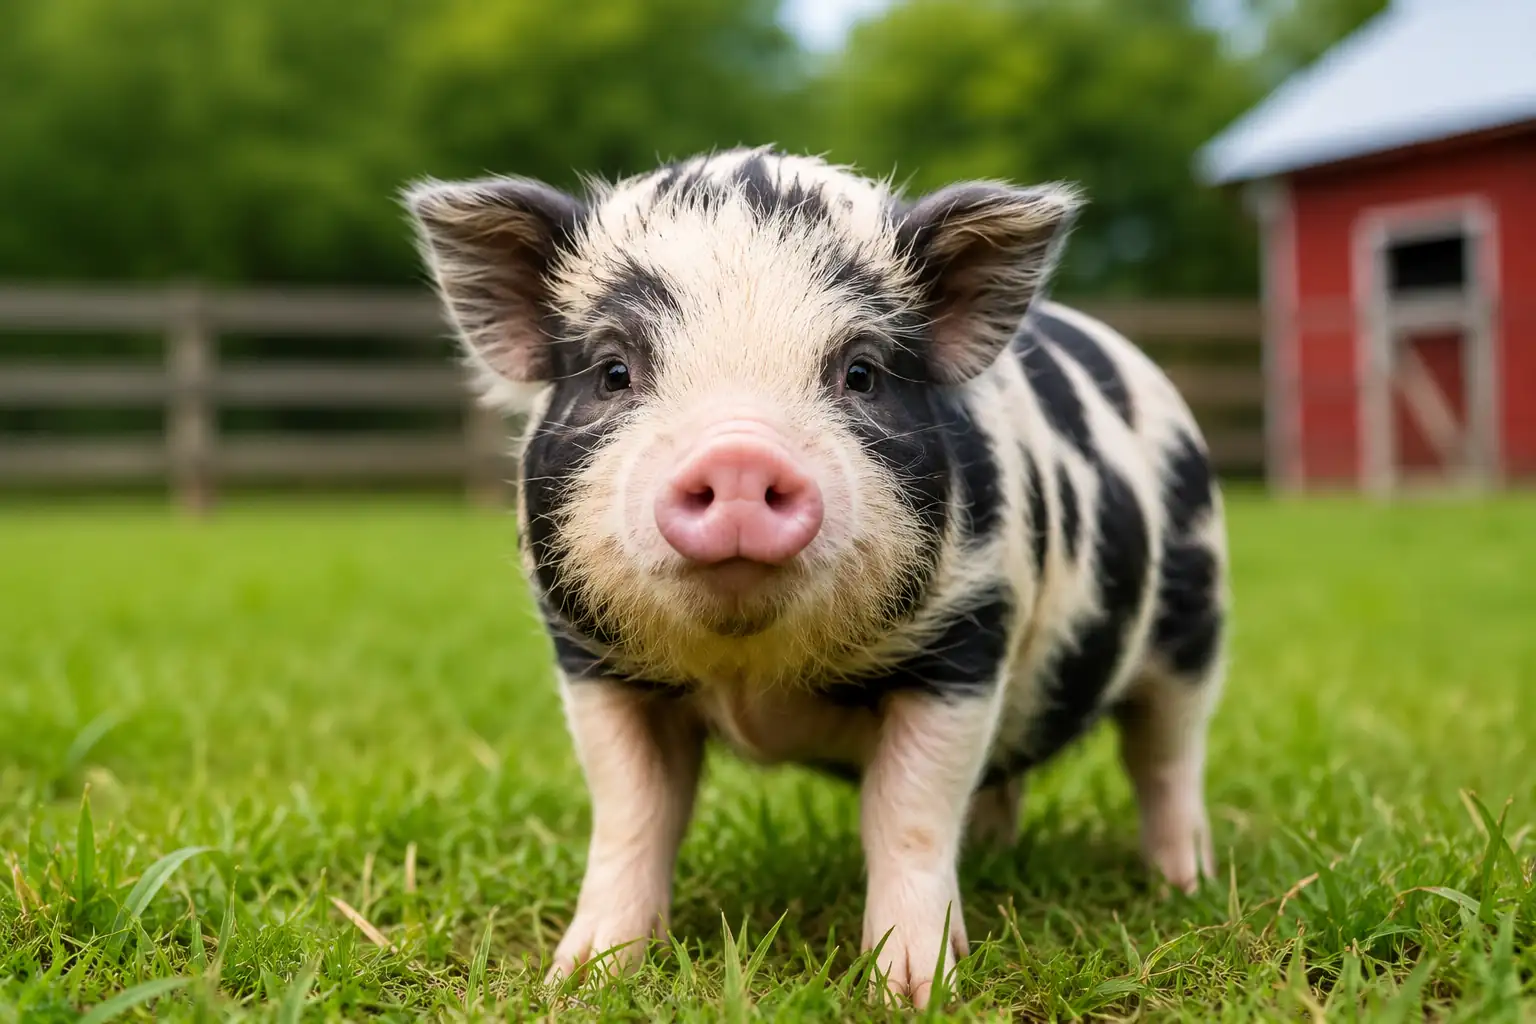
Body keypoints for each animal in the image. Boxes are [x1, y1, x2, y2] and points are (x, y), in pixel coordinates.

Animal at [405, 147, 1227, 1007]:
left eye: (861, 372)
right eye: (612, 370)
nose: (739, 456)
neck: (754, 675)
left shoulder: (967, 635)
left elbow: (908, 814)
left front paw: (913, 993)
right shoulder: (593, 660)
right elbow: (632, 813)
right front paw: (582, 980)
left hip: (1194, 617)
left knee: (1166, 759)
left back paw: (1184, 886)